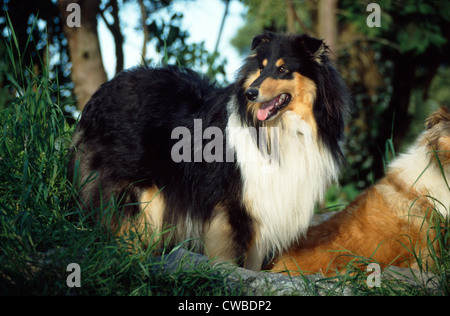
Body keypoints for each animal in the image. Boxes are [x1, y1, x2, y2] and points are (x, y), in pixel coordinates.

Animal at [71, 32, 352, 270]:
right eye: (261, 68)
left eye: (283, 69)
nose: (251, 93)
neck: (279, 129)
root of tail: (100, 95)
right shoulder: (232, 208)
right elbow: (231, 257)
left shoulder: (261, 209)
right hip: (140, 196)